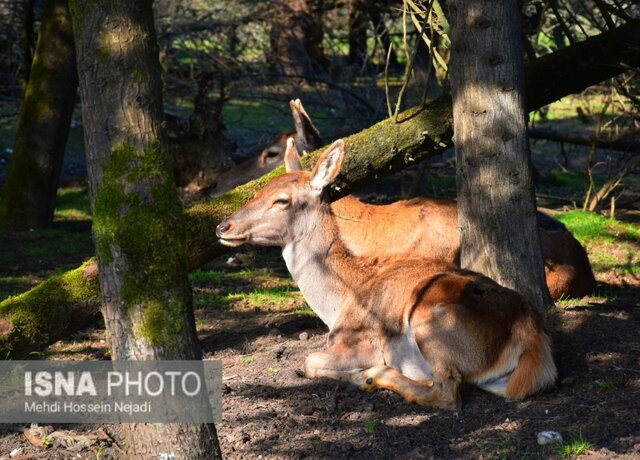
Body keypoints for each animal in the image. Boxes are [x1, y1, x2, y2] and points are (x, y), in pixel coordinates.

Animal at [218, 138, 556, 408]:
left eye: (282, 200)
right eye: (259, 190)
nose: (223, 226)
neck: (337, 303)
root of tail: (529, 332)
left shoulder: (359, 343)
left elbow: (309, 360)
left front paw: (358, 375)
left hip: (430, 324)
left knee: (447, 393)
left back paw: (375, 376)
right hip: (494, 378)